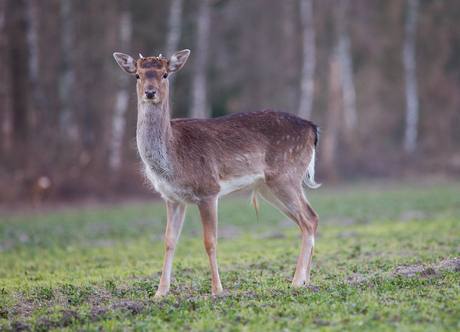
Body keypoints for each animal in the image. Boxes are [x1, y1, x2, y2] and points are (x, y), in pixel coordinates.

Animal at [114, 50, 320, 298]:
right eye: (137, 75)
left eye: (165, 74)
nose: (150, 92)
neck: (173, 156)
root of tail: (313, 129)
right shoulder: (172, 198)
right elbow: (169, 241)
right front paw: (160, 293)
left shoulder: (208, 189)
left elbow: (209, 241)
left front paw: (217, 290)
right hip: (268, 187)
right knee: (306, 221)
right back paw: (307, 280)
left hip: (286, 175)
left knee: (309, 218)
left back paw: (296, 282)